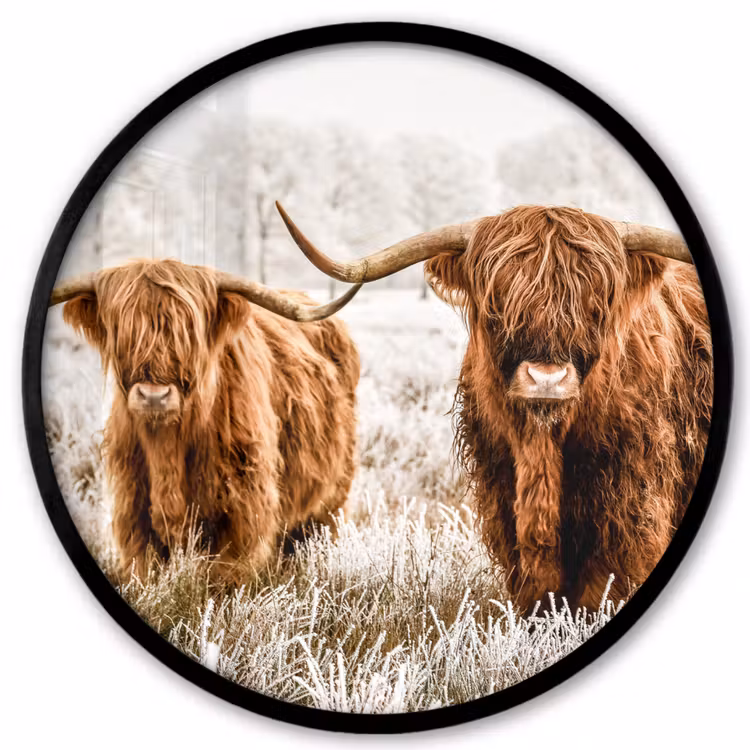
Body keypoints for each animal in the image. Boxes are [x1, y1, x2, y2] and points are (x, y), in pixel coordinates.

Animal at [49, 259, 362, 584]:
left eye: (189, 332)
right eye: (121, 330)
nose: (154, 396)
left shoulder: (243, 511)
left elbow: (227, 576)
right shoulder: (133, 510)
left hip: (331, 499)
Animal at [276, 202, 713, 613]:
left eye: (595, 304)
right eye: (497, 303)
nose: (547, 379)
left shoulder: (629, 510)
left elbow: (600, 590)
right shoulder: (502, 497)